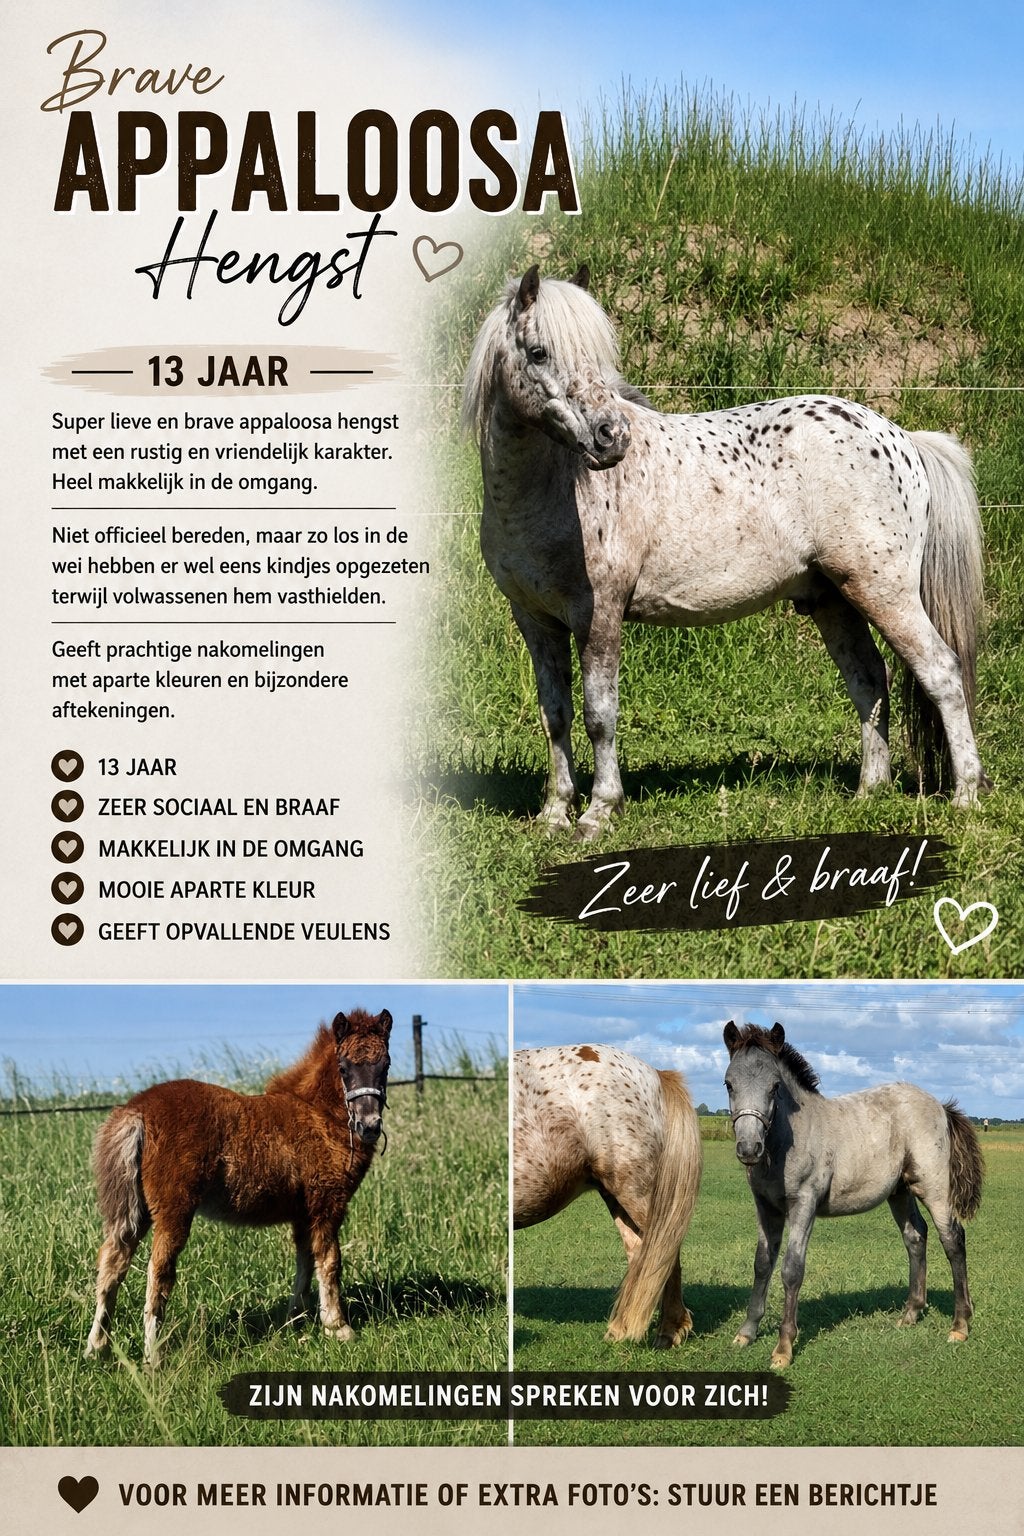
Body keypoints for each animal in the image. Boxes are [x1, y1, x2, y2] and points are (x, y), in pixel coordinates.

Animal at [85, 1008, 393, 1367]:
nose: (369, 1126)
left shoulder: (302, 1213)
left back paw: (97, 1348)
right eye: (344, 1068)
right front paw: (338, 1327)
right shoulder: (327, 1203)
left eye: (385, 1065)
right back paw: (154, 1357)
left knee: (112, 1264)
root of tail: (137, 1111)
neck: (319, 1115)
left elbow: (304, 1261)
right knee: (157, 1273)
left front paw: (296, 1320)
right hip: (173, 1211)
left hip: (136, 1211)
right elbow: (329, 1261)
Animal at [462, 264, 989, 839]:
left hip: (885, 593)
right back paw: (868, 793)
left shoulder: (598, 617)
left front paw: (600, 811)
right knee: (870, 681)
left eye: (600, 357)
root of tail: (902, 439)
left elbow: (599, 715)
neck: (552, 493)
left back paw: (965, 796)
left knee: (941, 672)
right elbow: (554, 715)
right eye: (538, 353)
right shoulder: (536, 622)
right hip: (834, 600)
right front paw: (554, 812)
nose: (611, 437)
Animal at [513, 1044, 703, 1346]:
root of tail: (655, 1074)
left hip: (636, 1192)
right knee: (640, 1254)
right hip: (617, 1195)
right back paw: (623, 1329)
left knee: (664, 1253)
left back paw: (669, 1331)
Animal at [722, 1021, 984, 1368]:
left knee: (953, 1239)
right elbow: (763, 1263)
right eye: (729, 1084)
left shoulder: (804, 1204)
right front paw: (746, 1333)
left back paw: (960, 1325)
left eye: (775, 1086)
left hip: (934, 1187)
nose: (749, 1148)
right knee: (916, 1236)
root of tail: (939, 1105)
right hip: (900, 1191)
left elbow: (792, 1269)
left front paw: (783, 1348)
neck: (786, 1142)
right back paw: (910, 1313)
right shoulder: (766, 1207)